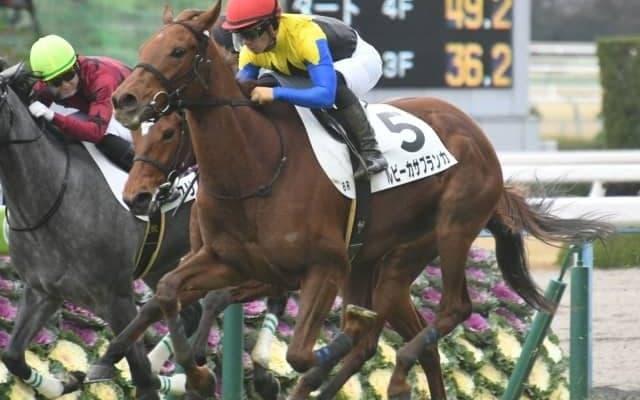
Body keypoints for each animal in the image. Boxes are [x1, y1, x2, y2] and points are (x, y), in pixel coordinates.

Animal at [0, 63, 206, 400]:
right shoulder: (43, 291)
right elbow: (13, 356)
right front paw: (67, 382)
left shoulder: (117, 299)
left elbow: (142, 377)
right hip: (160, 264)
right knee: (189, 311)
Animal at [94, 3, 614, 399]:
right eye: (145, 50)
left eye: (178, 50)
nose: (126, 99)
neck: (257, 166)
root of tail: (473, 131)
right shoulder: (230, 261)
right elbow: (166, 294)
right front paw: (184, 370)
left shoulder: (321, 267)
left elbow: (304, 352)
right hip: (383, 260)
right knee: (413, 334)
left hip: (451, 229)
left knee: (450, 310)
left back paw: (382, 366)